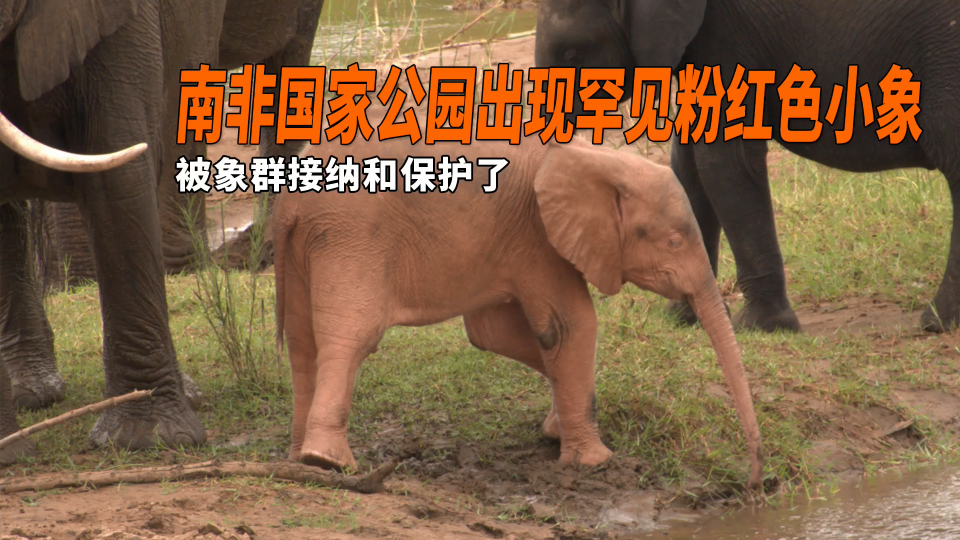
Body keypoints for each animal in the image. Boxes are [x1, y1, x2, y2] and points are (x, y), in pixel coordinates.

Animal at [272, 136, 765, 489]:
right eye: (674, 242)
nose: (758, 481)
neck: (597, 156)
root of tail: (288, 204)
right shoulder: (538, 234)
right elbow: (570, 326)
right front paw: (595, 462)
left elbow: (494, 334)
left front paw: (554, 432)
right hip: (353, 236)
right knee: (352, 337)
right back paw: (328, 462)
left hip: (307, 247)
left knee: (302, 343)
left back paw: (300, 461)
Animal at [533, 0, 960, 333]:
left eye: (572, 55)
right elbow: (688, 164)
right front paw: (684, 319)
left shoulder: (727, 35)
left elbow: (723, 160)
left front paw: (759, 327)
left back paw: (935, 322)